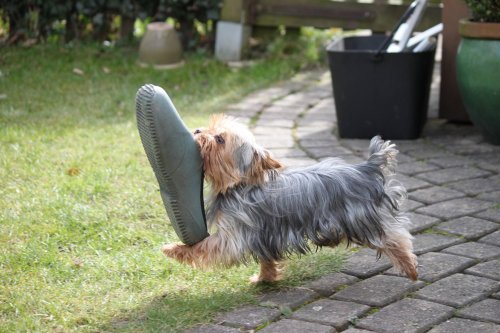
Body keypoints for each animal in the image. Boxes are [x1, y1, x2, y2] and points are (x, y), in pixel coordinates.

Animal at [161, 113, 418, 280]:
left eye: (220, 139)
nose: (196, 131)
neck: (238, 185)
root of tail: (365, 168)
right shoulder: (263, 235)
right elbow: (266, 259)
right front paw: (264, 279)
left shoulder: (234, 233)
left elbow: (205, 246)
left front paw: (172, 249)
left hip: (362, 218)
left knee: (394, 237)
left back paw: (410, 268)